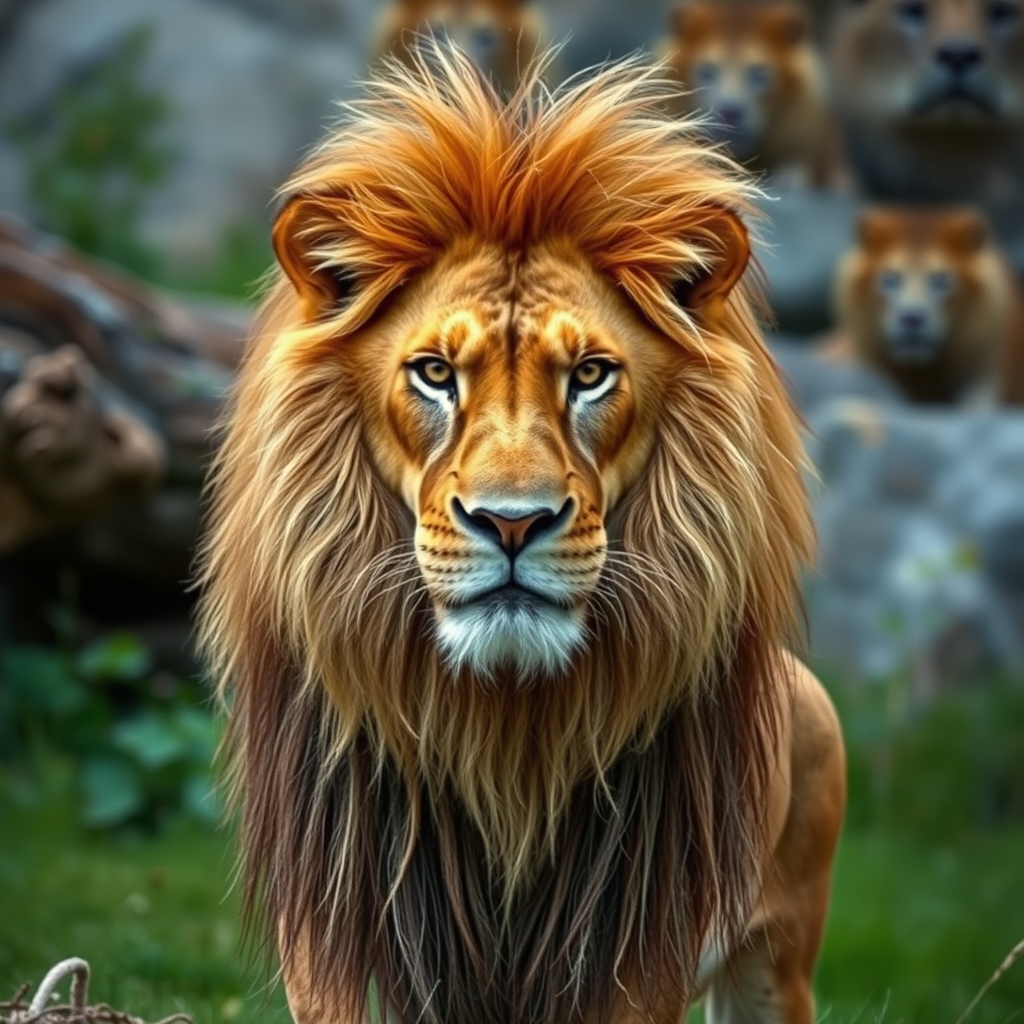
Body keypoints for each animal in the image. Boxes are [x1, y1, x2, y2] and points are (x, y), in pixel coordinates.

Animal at [197, 44, 846, 1024]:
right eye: (434, 373)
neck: (501, 731)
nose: (513, 523)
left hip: (778, 959)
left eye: (590, 375)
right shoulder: (340, 930)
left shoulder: (630, 948)